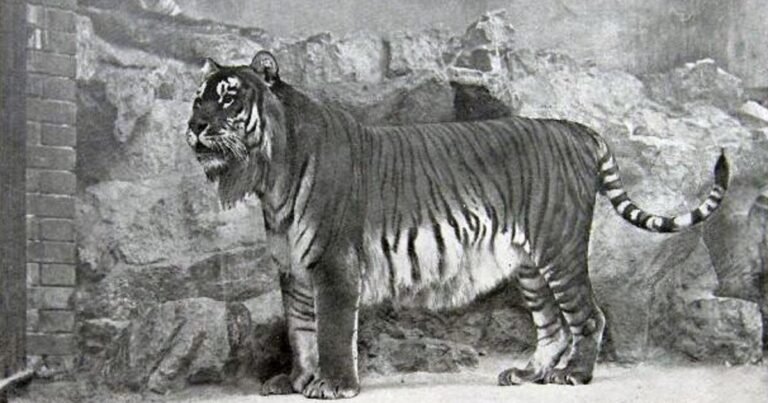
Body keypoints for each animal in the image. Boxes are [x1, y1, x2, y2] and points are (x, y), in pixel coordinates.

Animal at [186, 50, 729, 399]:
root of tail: (575, 128)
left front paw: (334, 386)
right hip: (530, 264)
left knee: (588, 316)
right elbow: (300, 330)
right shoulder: (293, 268)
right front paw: (296, 381)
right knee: (551, 325)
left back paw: (573, 375)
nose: (194, 126)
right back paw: (527, 374)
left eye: (229, 98)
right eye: (197, 99)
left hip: (560, 249)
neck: (270, 174)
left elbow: (332, 331)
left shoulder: (333, 265)